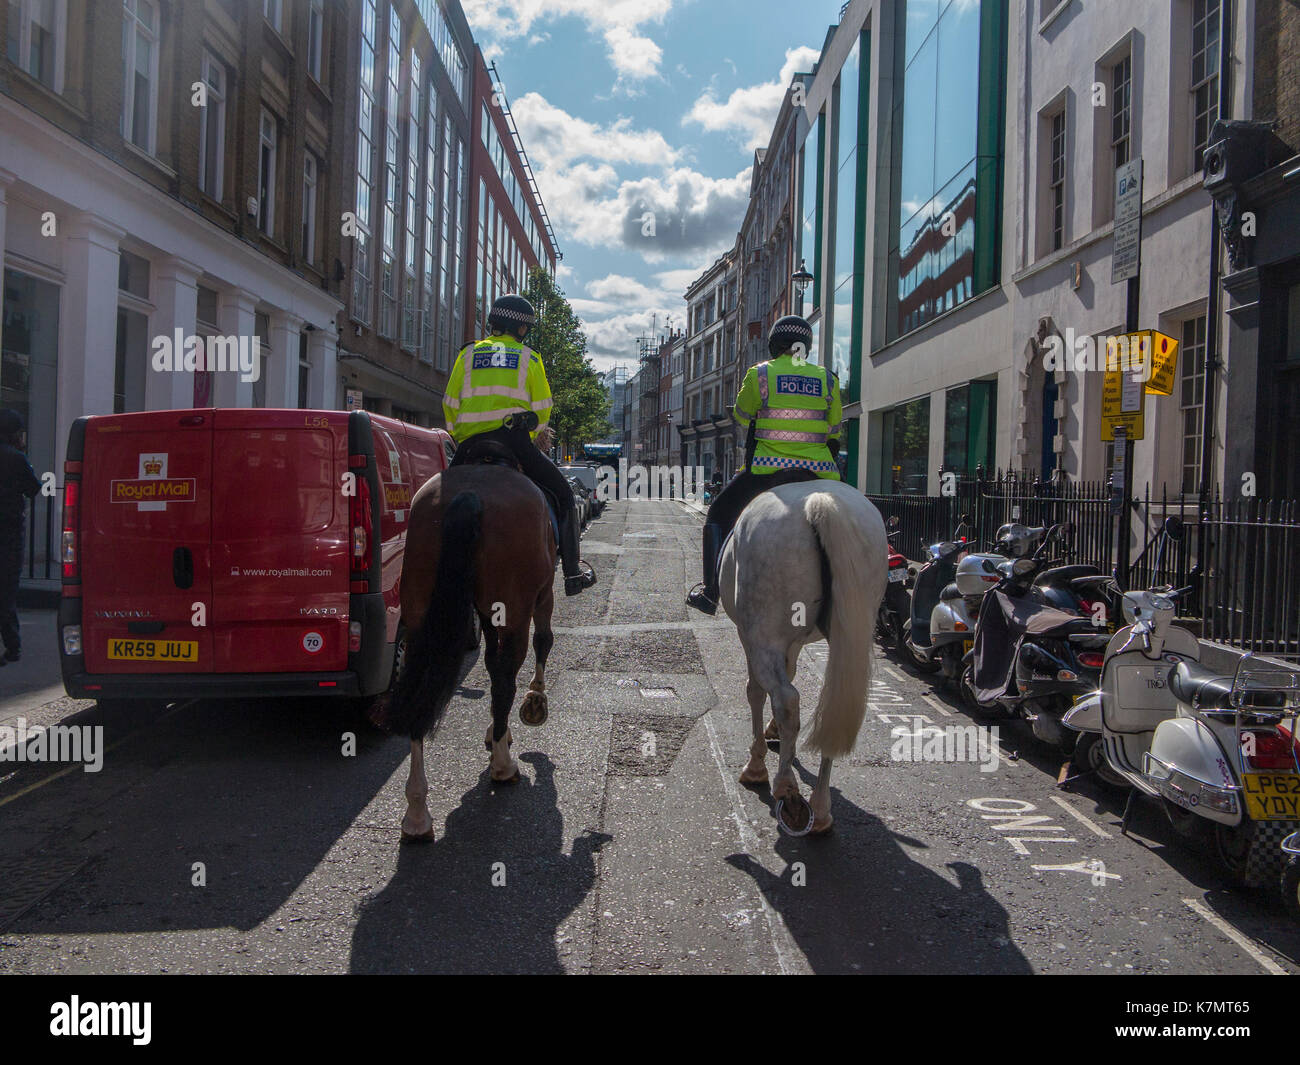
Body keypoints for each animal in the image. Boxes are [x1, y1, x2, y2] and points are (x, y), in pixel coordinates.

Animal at [379, 462, 556, 847]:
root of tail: (470, 492)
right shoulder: (541, 597)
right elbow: (539, 644)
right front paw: (534, 702)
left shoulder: (487, 616)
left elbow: (490, 664)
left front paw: (499, 728)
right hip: (516, 611)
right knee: (506, 682)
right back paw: (503, 767)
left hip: (419, 618)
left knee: (419, 695)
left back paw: (417, 813)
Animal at [717, 478, 889, 837]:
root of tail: (821, 501)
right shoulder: (792, 642)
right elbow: (791, 671)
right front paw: (777, 738)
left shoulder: (750, 636)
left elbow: (756, 691)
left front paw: (757, 763)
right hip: (848, 633)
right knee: (834, 702)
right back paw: (821, 809)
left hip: (762, 633)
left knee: (786, 698)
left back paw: (787, 789)